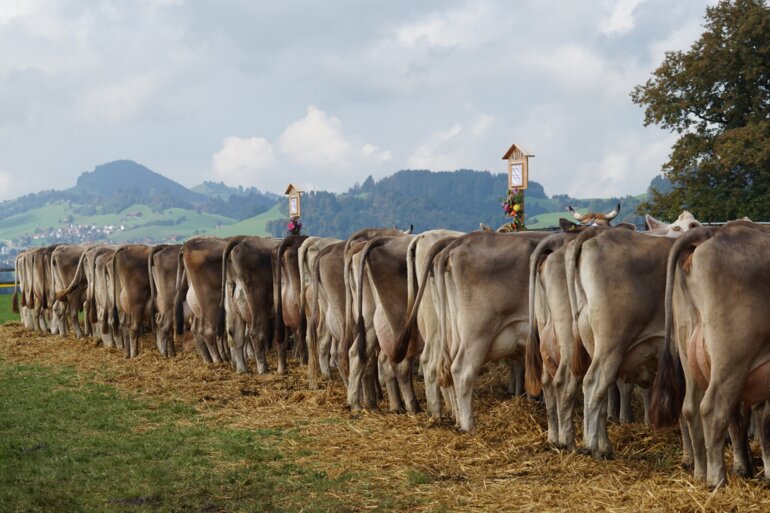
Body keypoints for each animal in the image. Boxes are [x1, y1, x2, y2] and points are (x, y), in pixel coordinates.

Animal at [652, 222, 770, 488]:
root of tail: (711, 232)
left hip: (687, 346)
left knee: (690, 408)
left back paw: (700, 472)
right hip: (731, 357)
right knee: (712, 410)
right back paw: (716, 480)